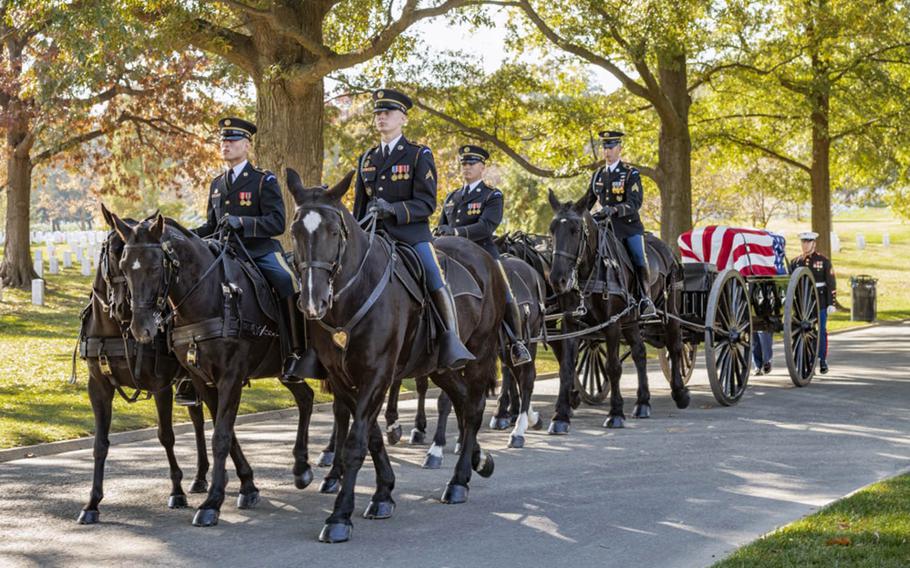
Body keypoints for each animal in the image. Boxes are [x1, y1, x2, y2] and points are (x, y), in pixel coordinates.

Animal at [76, 213, 210, 524]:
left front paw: (176, 491)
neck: (115, 332)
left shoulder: (160, 385)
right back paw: (200, 477)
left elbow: (166, 436)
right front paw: (92, 502)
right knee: (198, 420)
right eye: (117, 259)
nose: (125, 310)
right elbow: (100, 444)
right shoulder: (98, 387)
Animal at [107, 210, 318, 528]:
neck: (209, 295)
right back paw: (302, 467)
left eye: (156, 266)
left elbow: (220, 436)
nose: (140, 328)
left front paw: (212, 503)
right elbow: (225, 432)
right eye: (123, 265)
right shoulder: (202, 379)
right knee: (306, 398)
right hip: (285, 371)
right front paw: (247, 486)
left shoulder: (231, 376)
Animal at [288, 168, 506, 540]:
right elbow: (371, 437)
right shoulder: (343, 377)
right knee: (463, 403)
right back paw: (477, 460)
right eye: (294, 230)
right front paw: (383, 493)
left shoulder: (377, 374)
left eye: (333, 231)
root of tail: (484, 258)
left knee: (474, 408)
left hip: (478, 354)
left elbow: (356, 443)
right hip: (440, 367)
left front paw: (340, 516)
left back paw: (459, 480)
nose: (313, 301)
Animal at [544, 189, 688, 432]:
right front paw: (560, 416)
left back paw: (679, 393)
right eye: (552, 230)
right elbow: (566, 366)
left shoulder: (612, 323)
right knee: (640, 352)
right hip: (630, 321)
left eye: (575, 230)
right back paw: (642, 402)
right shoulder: (571, 325)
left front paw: (615, 413)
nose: (557, 279)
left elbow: (612, 367)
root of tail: (667, 250)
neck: (590, 270)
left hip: (670, 312)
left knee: (675, 346)